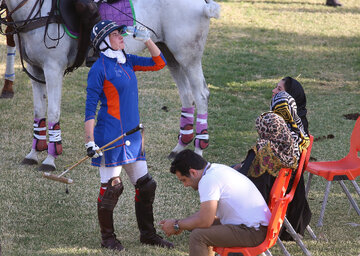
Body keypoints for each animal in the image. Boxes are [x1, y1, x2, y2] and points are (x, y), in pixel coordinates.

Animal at [4, 0, 219, 172]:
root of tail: (204, 4)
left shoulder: (53, 68)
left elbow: (53, 112)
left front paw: (50, 159)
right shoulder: (35, 70)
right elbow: (39, 111)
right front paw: (33, 154)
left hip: (188, 57)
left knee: (201, 95)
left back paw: (199, 149)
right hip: (170, 55)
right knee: (186, 95)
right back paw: (180, 147)